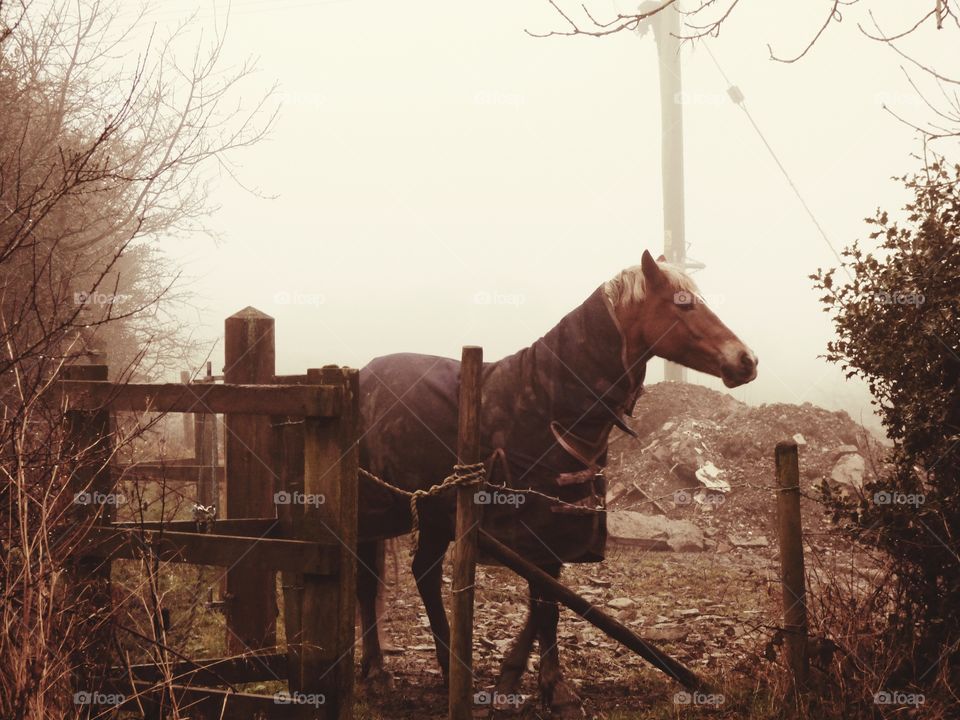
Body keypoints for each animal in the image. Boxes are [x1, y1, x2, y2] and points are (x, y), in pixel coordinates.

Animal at [354, 250, 757, 716]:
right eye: (683, 304)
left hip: (434, 514)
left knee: (422, 574)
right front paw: (556, 690)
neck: (549, 404)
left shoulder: (563, 524)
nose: (747, 360)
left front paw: (514, 676)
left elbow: (547, 599)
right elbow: (546, 606)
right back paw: (382, 672)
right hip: (377, 514)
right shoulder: (538, 526)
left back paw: (440, 665)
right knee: (369, 583)